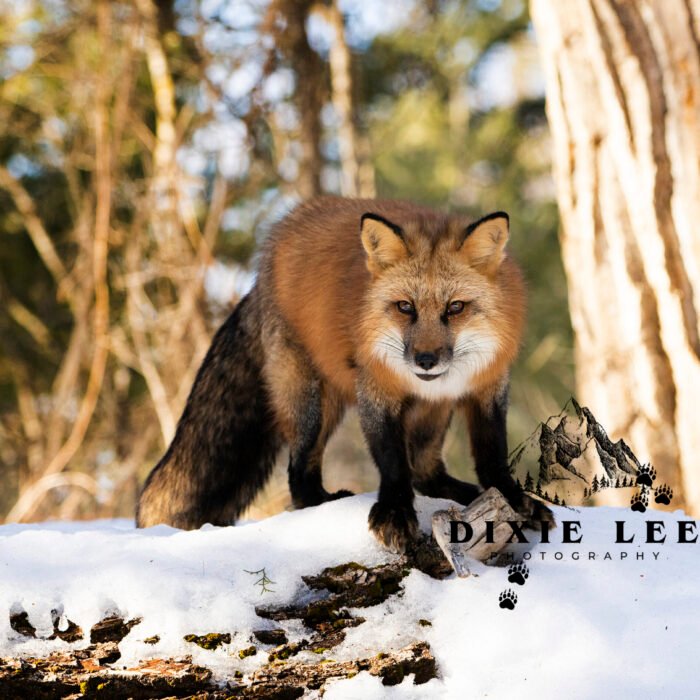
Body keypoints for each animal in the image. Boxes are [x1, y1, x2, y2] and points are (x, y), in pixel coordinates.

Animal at [136, 196, 553, 550]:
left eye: (455, 308)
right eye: (405, 307)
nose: (425, 359)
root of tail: (266, 259)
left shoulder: (488, 386)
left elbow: (492, 454)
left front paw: (515, 501)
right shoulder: (376, 389)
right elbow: (392, 463)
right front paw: (394, 514)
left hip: (428, 412)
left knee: (425, 470)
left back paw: (465, 493)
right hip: (312, 406)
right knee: (299, 472)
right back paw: (318, 500)